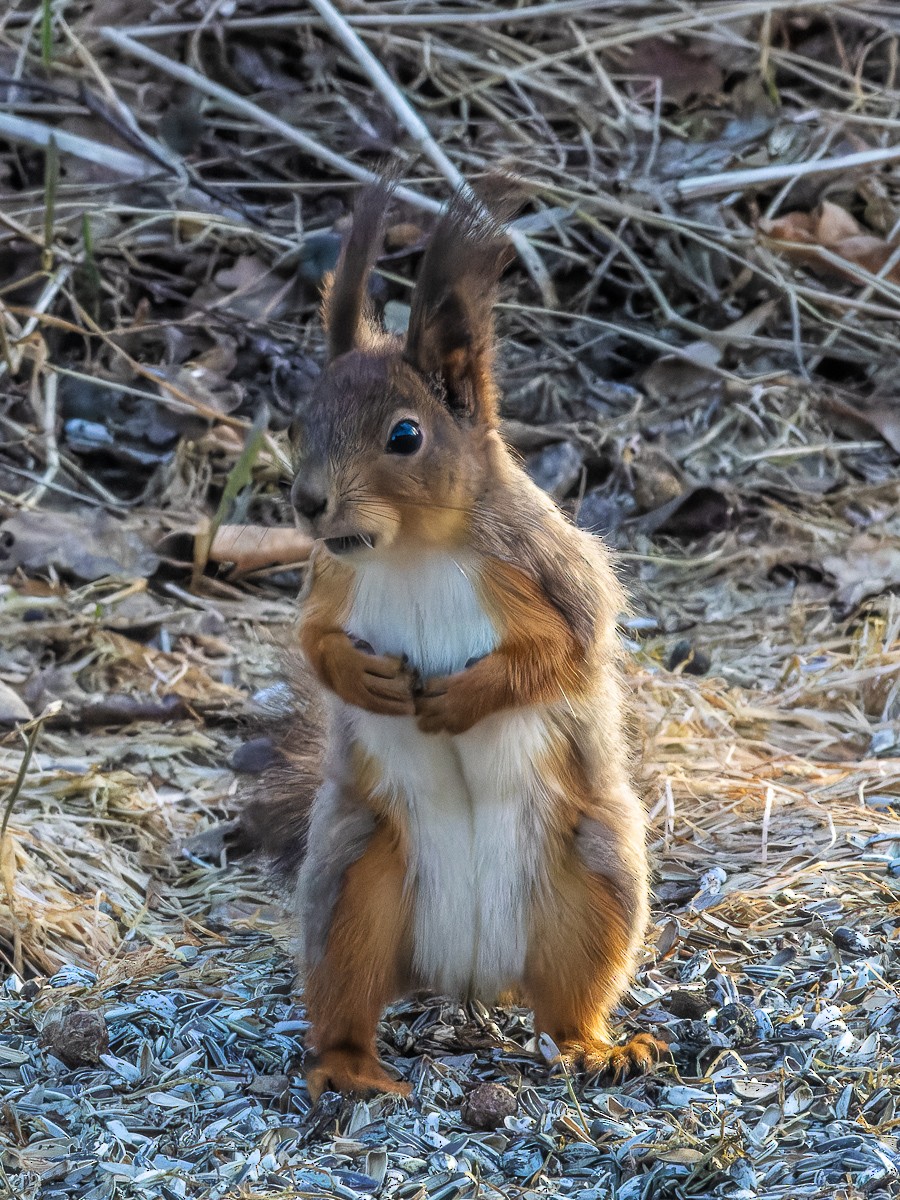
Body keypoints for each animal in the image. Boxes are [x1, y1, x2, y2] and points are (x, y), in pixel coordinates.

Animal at [267, 180, 660, 1100]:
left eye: (406, 436)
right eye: (300, 420)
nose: (307, 502)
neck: (411, 548)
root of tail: (471, 974)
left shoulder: (546, 571)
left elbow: (568, 651)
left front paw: (465, 696)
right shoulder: (331, 581)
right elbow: (315, 642)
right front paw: (365, 680)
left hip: (593, 878)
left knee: (568, 1000)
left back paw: (596, 1048)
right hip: (352, 880)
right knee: (347, 991)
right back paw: (348, 1067)